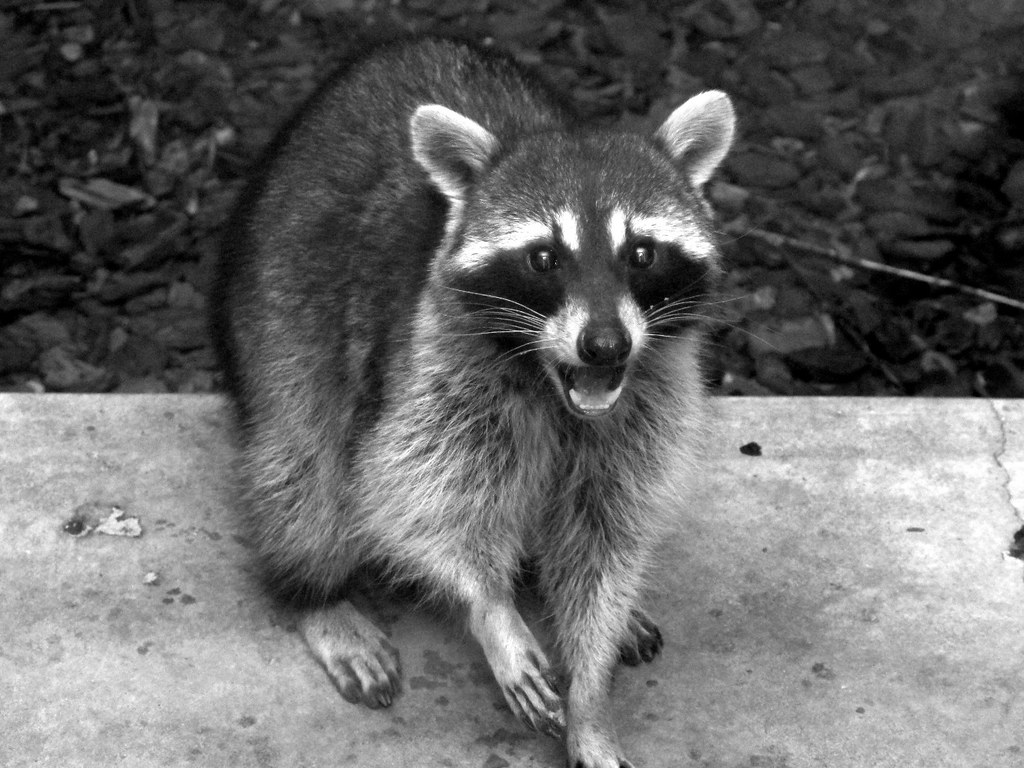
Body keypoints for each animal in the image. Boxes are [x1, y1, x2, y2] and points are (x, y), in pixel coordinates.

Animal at [210, 37, 734, 768]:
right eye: (544, 257)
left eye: (641, 253)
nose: (605, 345)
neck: (554, 383)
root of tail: (391, 48)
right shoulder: (432, 375)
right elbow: (413, 503)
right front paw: (491, 610)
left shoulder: (647, 403)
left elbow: (608, 534)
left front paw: (591, 690)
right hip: (278, 306)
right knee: (304, 465)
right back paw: (315, 591)